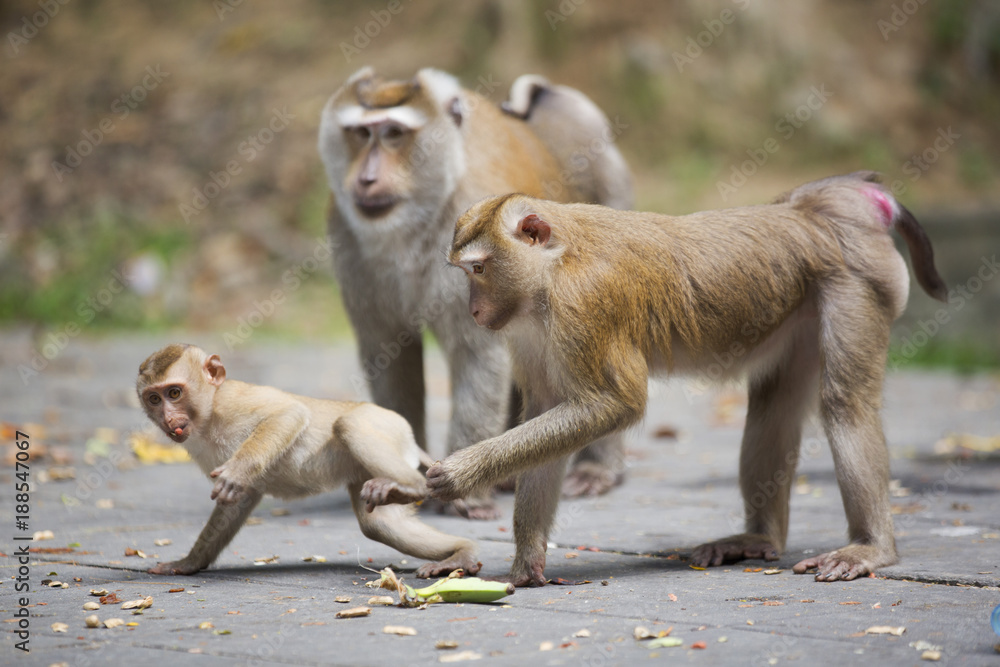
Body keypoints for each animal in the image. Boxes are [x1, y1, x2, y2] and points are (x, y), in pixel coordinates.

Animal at [136, 344, 479, 578]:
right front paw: (189, 563)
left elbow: (289, 413)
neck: (208, 417)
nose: (169, 420)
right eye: (154, 399)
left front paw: (237, 472)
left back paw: (414, 488)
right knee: (379, 525)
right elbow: (238, 500)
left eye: (175, 393)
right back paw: (461, 552)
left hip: (386, 425)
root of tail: (409, 437)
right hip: (368, 468)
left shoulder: (234, 401)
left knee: (348, 425)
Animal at [317, 68, 633, 513]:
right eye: (361, 133)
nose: (366, 177)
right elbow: (388, 353)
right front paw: (395, 469)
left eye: (394, 133)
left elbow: (477, 352)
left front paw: (460, 490)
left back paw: (596, 468)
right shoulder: (345, 235)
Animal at [427, 171, 947, 586]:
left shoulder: (585, 306)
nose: (474, 311)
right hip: (797, 307)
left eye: (479, 268)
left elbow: (614, 405)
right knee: (773, 410)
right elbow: (547, 416)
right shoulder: (531, 330)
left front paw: (461, 471)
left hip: (857, 282)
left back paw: (872, 547)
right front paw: (527, 561)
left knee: (845, 405)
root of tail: (815, 211)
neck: (555, 265)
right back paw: (758, 537)